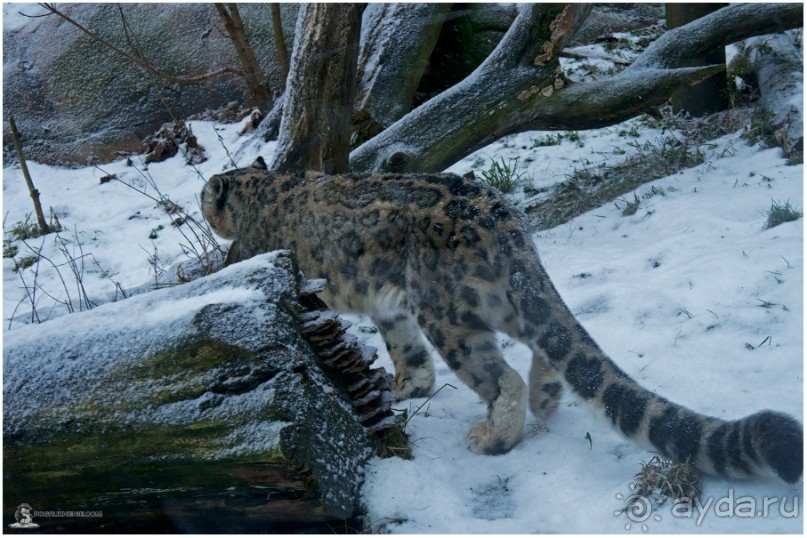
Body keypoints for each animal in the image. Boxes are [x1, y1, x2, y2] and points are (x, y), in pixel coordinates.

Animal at [202, 156, 800, 482]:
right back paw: (547, 397)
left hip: (447, 312)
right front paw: (405, 388)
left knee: (499, 374)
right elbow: (404, 349)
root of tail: (502, 214)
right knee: (544, 342)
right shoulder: (389, 309)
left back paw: (494, 435)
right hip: (489, 298)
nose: (205, 203)